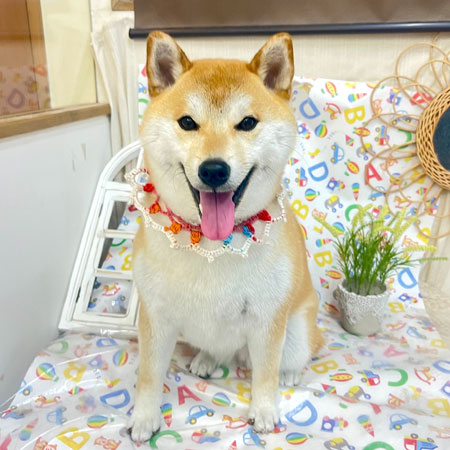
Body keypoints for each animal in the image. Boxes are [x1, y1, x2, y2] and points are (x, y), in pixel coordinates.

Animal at [129, 31, 323, 441]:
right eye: (188, 122)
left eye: (247, 122)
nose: (214, 169)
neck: (213, 244)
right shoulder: (156, 315)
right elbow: (149, 375)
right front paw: (144, 417)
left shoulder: (267, 319)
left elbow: (265, 374)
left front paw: (263, 410)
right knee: (216, 349)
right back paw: (206, 359)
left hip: (297, 331)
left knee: (294, 355)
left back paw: (290, 373)